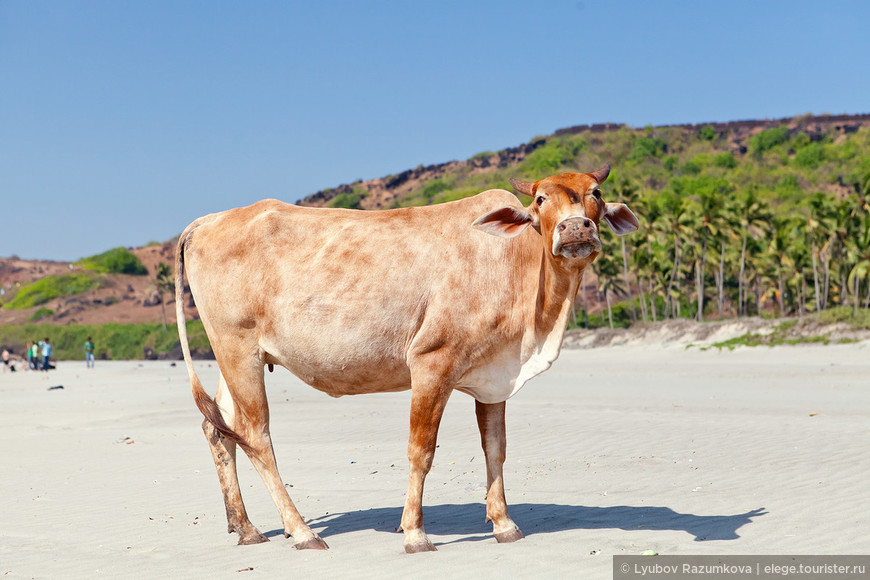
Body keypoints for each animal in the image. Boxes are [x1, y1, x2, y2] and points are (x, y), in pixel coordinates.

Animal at [175, 164, 640, 552]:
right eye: (541, 199)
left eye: (596, 193)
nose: (575, 227)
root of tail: (210, 219)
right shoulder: (432, 362)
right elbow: (422, 451)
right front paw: (415, 533)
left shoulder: (493, 378)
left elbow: (495, 448)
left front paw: (504, 524)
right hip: (238, 349)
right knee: (256, 437)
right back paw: (302, 531)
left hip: (238, 355)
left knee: (219, 429)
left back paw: (247, 528)